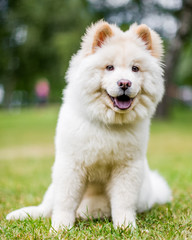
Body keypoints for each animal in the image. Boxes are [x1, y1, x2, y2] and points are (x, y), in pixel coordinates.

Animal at [6, 20, 171, 231]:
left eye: (135, 69)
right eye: (109, 67)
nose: (124, 83)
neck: (109, 123)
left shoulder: (126, 169)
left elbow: (123, 203)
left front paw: (126, 227)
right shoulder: (71, 165)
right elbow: (65, 202)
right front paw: (60, 229)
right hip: (53, 184)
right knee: (46, 207)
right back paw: (22, 214)